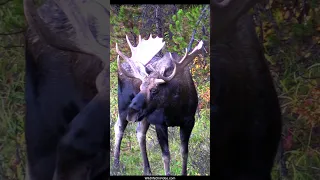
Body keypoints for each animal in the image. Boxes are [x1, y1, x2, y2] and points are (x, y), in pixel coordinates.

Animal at [112, 34, 202, 176]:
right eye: (141, 87)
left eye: (154, 90)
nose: (132, 112)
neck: (175, 108)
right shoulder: (160, 123)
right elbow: (166, 156)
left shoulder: (189, 122)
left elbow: (184, 153)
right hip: (123, 106)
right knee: (119, 128)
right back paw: (115, 166)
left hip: (144, 116)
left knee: (140, 132)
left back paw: (147, 170)